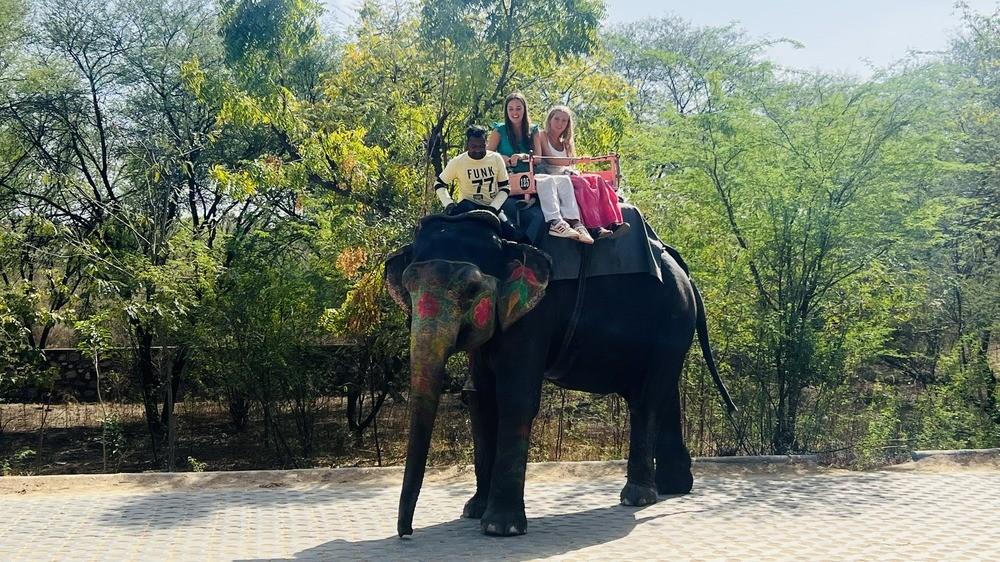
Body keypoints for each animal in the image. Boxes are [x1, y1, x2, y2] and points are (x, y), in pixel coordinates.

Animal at [385, 209, 735, 537]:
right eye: (408, 286)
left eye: (471, 289)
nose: (406, 532)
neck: (506, 238)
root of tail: (687, 275)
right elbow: (480, 396)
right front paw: (473, 511)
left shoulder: (538, 311)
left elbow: (515, 395)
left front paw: (500, 528)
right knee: (664, 392)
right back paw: (672, 487)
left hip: (673, 318)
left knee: (648, 397)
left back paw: (638, 496)